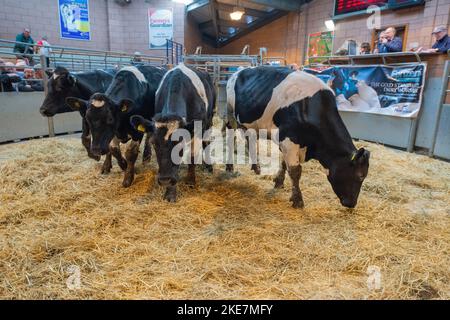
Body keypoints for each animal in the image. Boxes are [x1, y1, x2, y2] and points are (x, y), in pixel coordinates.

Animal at [130, 62, 214, 202]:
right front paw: (170, 192)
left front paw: (191, 181)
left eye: (179, 143)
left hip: (209, 119)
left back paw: (208, 165)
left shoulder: (197, 128)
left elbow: (192, 156)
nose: (165, 180)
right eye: (153, 143)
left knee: (206, 141)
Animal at [227, 66, 370, 209]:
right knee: (230, 137)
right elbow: (295, 171)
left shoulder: (287, 141)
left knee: (250, 139)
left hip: (250, 124)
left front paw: (279, 182)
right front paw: (297, 200)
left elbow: (284, 163)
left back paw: (256, 167)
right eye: (360, 176)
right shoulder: (289, 140)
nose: (351, 203)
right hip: (230, 113)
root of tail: (239, 71)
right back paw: (229, 167)